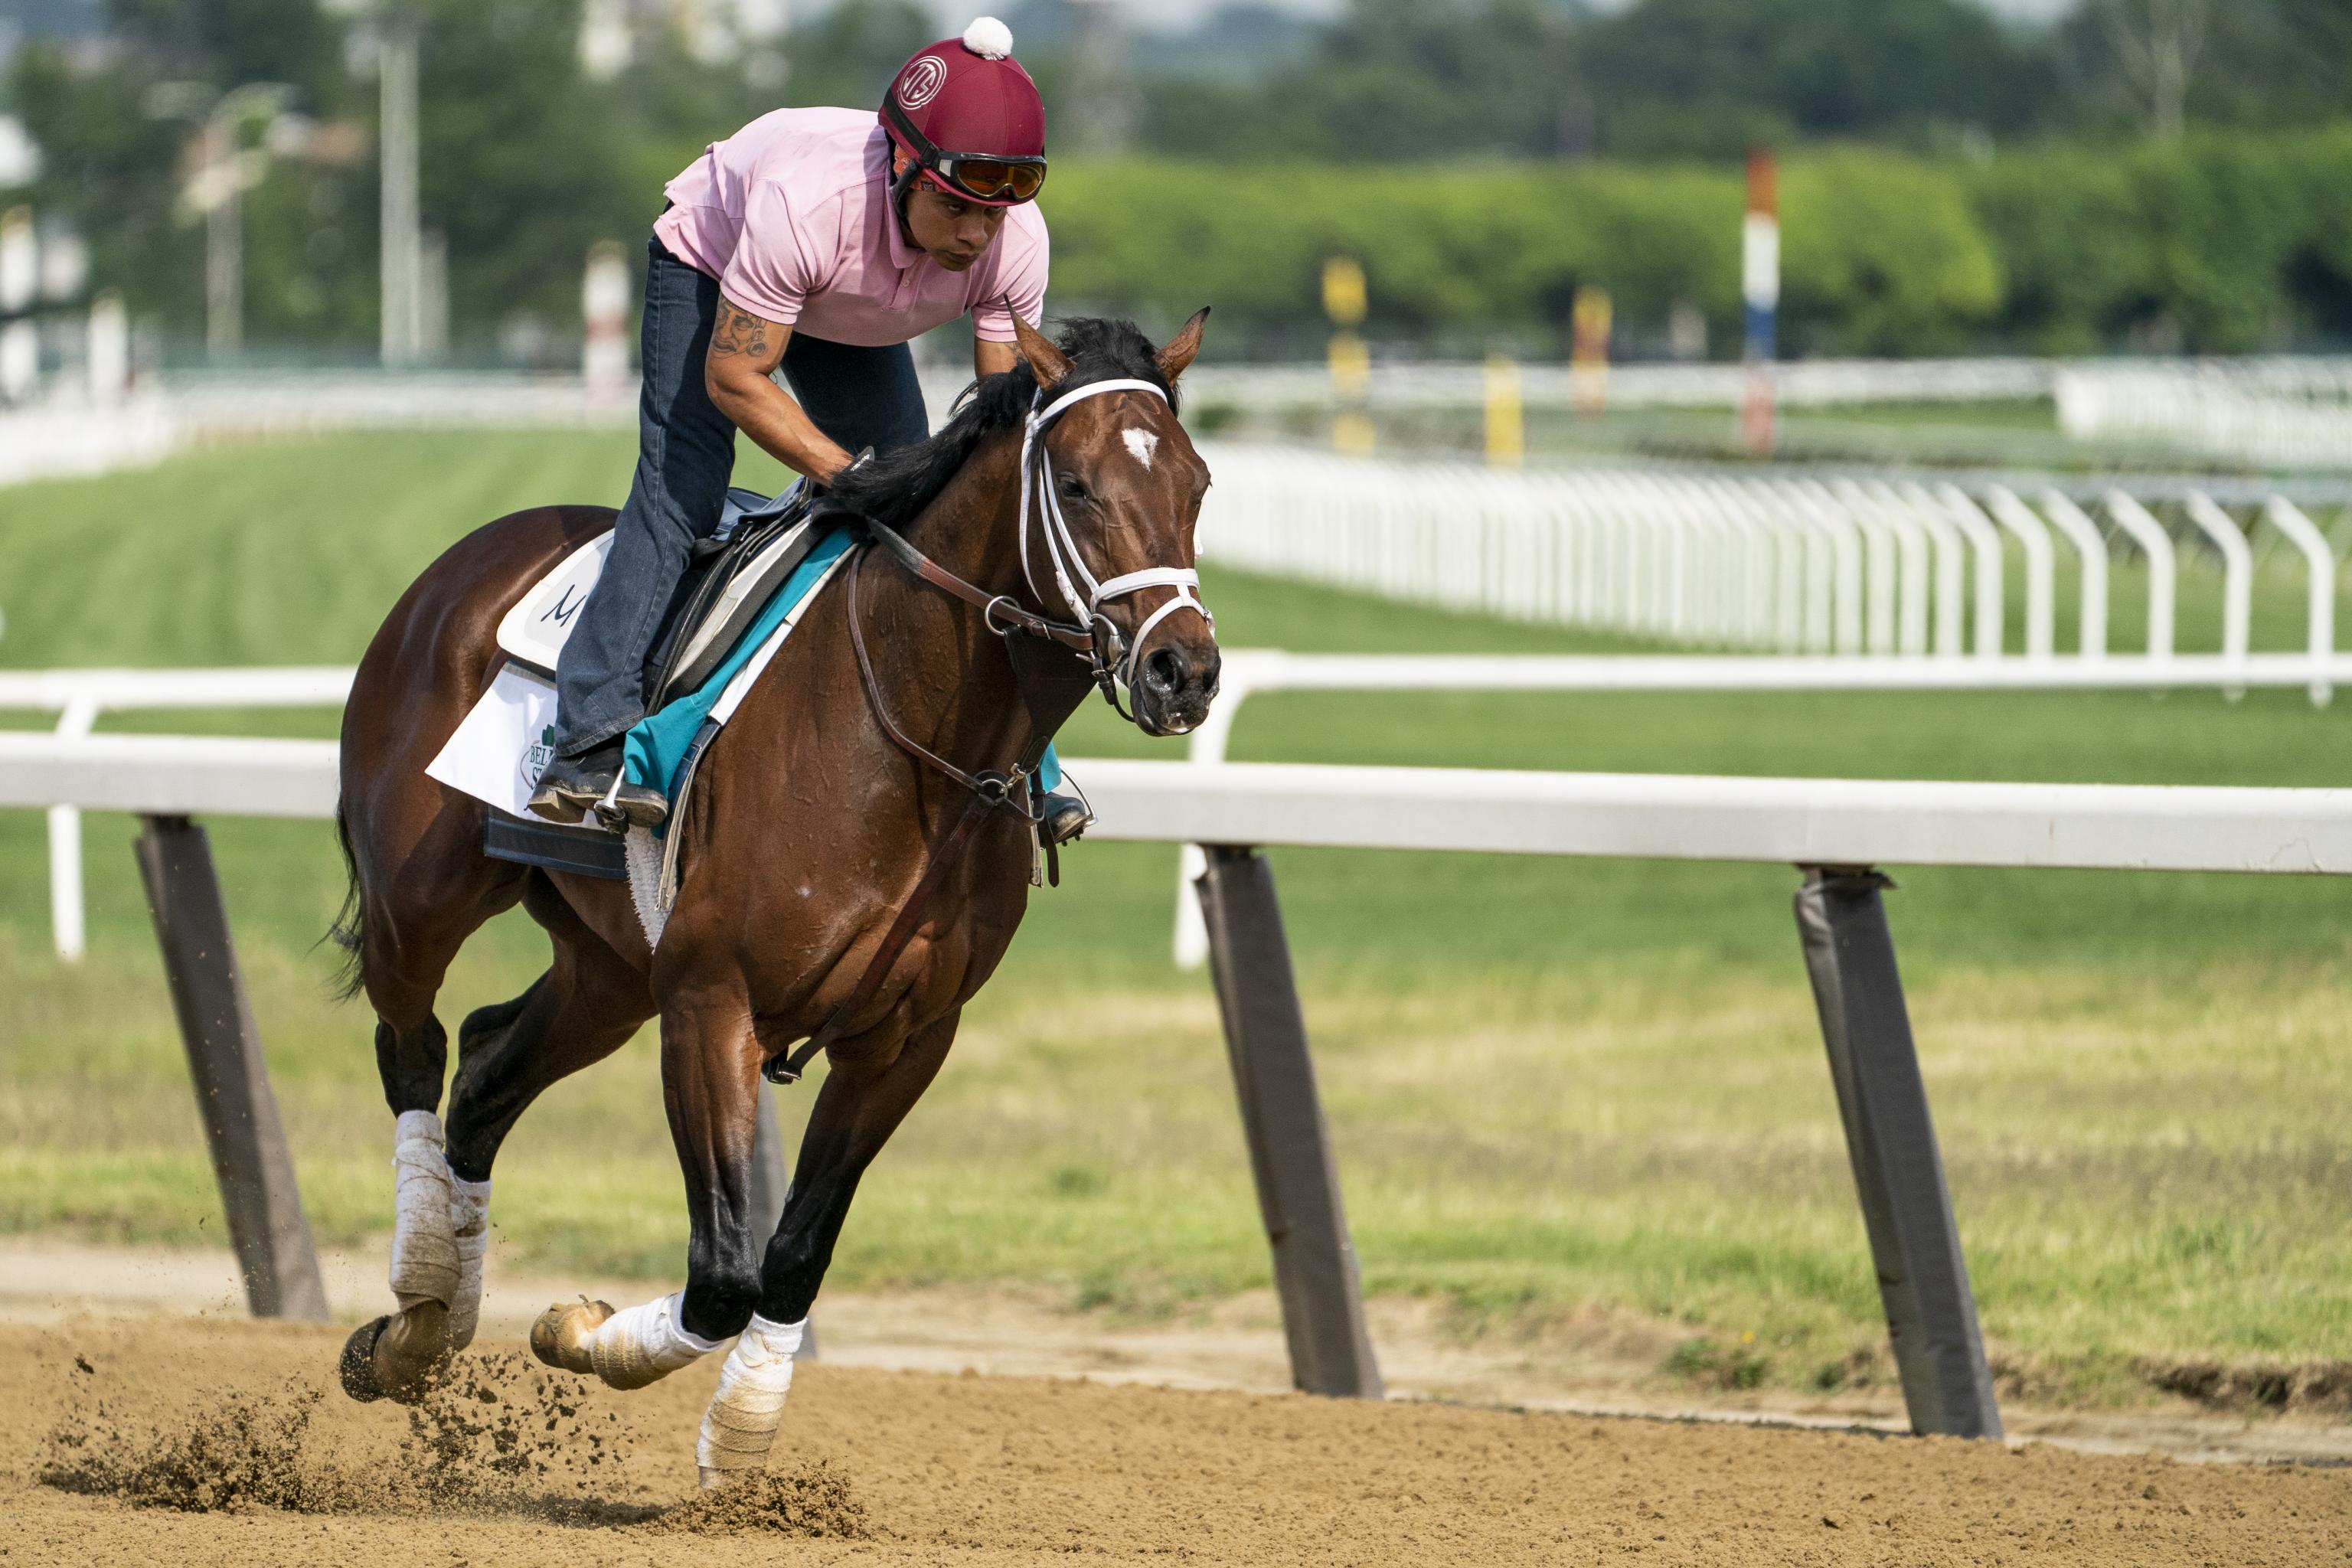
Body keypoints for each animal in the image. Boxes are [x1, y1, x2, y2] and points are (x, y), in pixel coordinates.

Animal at [329, 310, 1223, 1485]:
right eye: (1074, 485)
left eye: (1199, 482)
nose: (1184, 671)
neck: (911, 736)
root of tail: (458, 566)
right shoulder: (714, 1002)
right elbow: (722, 1275)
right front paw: (579, 1332)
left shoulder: (905, 1036)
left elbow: (792, 1255)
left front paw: (732, 1432)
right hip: (419, 900)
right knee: (414, 1048)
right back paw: (413, 1307)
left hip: (612, 972)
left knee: (482, 1073)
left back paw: (437, 1323)